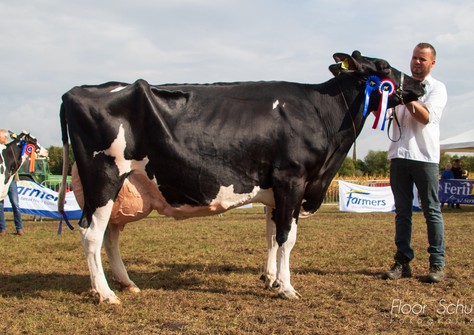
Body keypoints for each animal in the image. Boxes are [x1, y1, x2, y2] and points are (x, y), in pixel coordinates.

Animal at [57, 51, 424, 304]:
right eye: (384, 68)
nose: (420, 84)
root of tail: (75, 92)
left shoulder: (275, 189)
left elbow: (271, 235)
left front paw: (270, 279)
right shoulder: (292, 179)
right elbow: (287, 237)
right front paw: (287, 288)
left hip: (122, 188)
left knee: (111, 235)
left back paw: (126, 283)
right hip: (103, 177)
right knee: (91, 234)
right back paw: (105, 294)